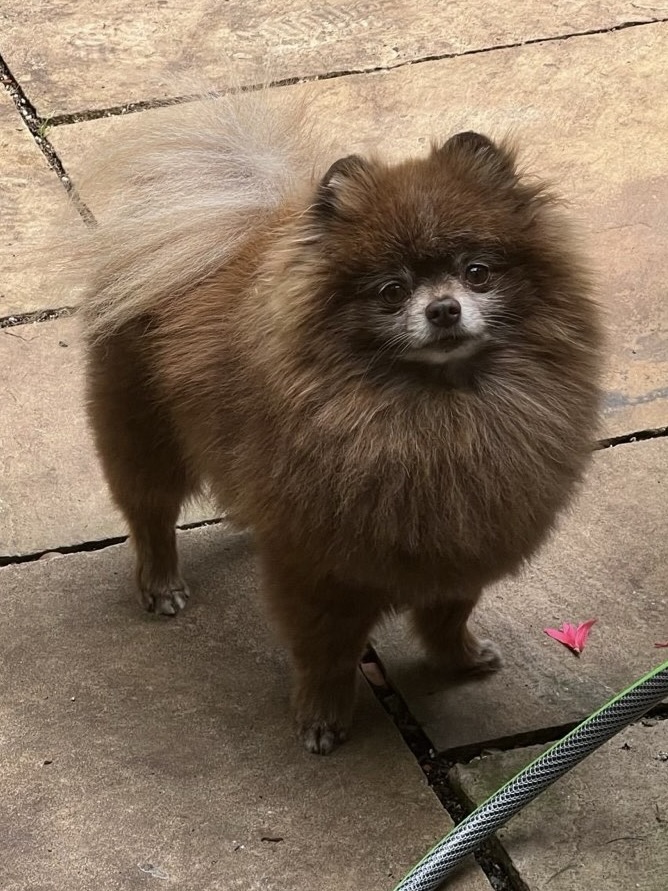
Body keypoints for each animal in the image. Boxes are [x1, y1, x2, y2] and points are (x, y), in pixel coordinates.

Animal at [70, 89, 604, 752]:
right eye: (391, 290)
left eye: (477, 272)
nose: (444, 308)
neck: (437, 409)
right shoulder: (323, 571)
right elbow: (325, 651)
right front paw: (322, 715)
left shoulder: (464, 542)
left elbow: (447, 615)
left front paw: (459, 658)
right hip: (143, 432)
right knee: (150, 514)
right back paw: (161, 582)